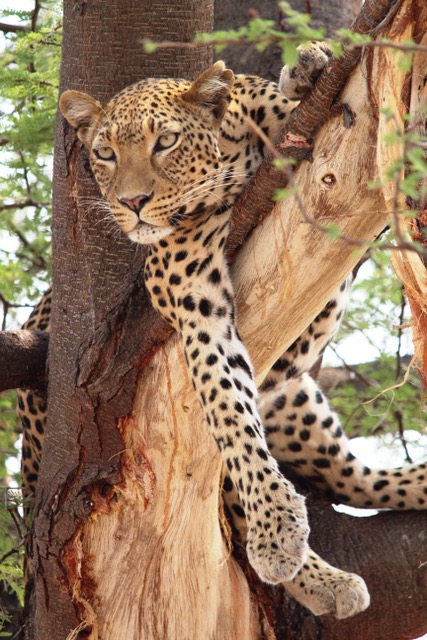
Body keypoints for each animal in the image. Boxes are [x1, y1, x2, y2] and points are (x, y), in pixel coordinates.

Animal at [17, 45, 426, 620]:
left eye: (165, 141)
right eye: (104, 153)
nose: (133, 203)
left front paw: (307, 70)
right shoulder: (195, 300)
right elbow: (228, 407)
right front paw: (276, 528)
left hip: (298, 399)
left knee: (353, 477)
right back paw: (320, 577)